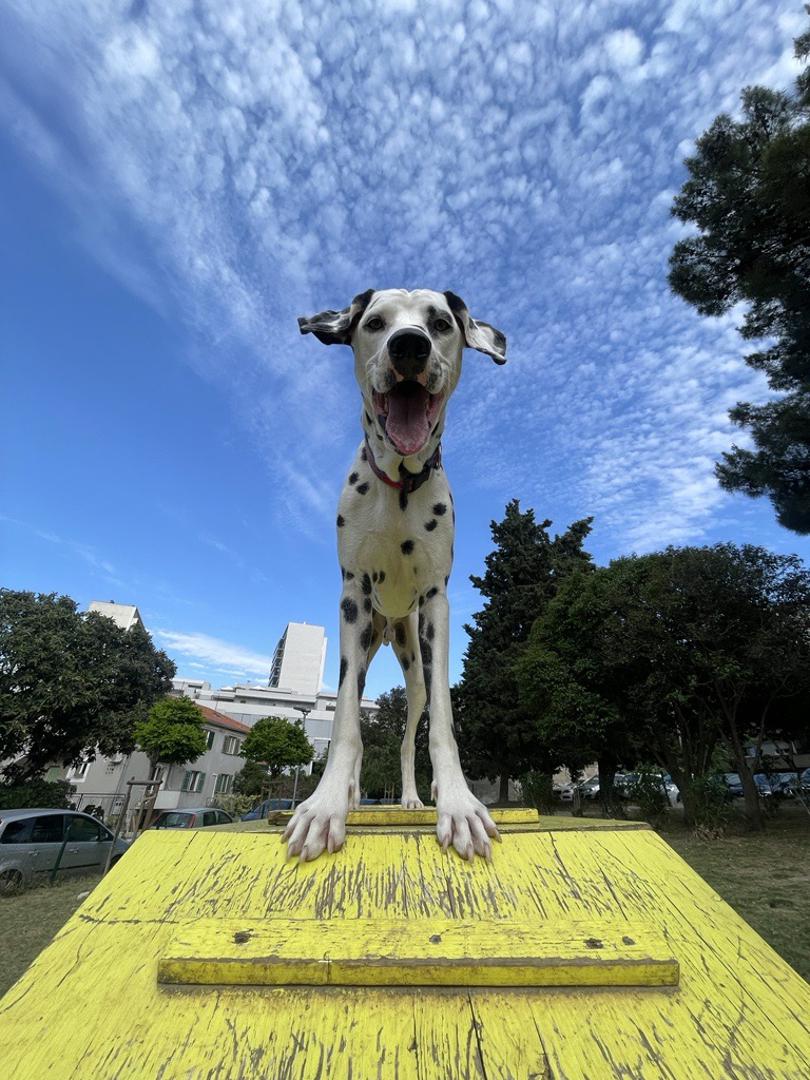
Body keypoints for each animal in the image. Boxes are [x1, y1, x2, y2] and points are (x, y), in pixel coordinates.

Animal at [287, 287, 507, 859]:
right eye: (375, 322)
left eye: (441, 322)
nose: (409, 345)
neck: (399, 488)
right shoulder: (352, 600)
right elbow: (345, 724)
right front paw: (325, 805)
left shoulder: (435, 605)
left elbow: (443, 727)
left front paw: (457, 803)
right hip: (364, 647)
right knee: (356, 721)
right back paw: (349, 792)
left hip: (414, 668)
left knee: (409, 739)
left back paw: (410, 797)